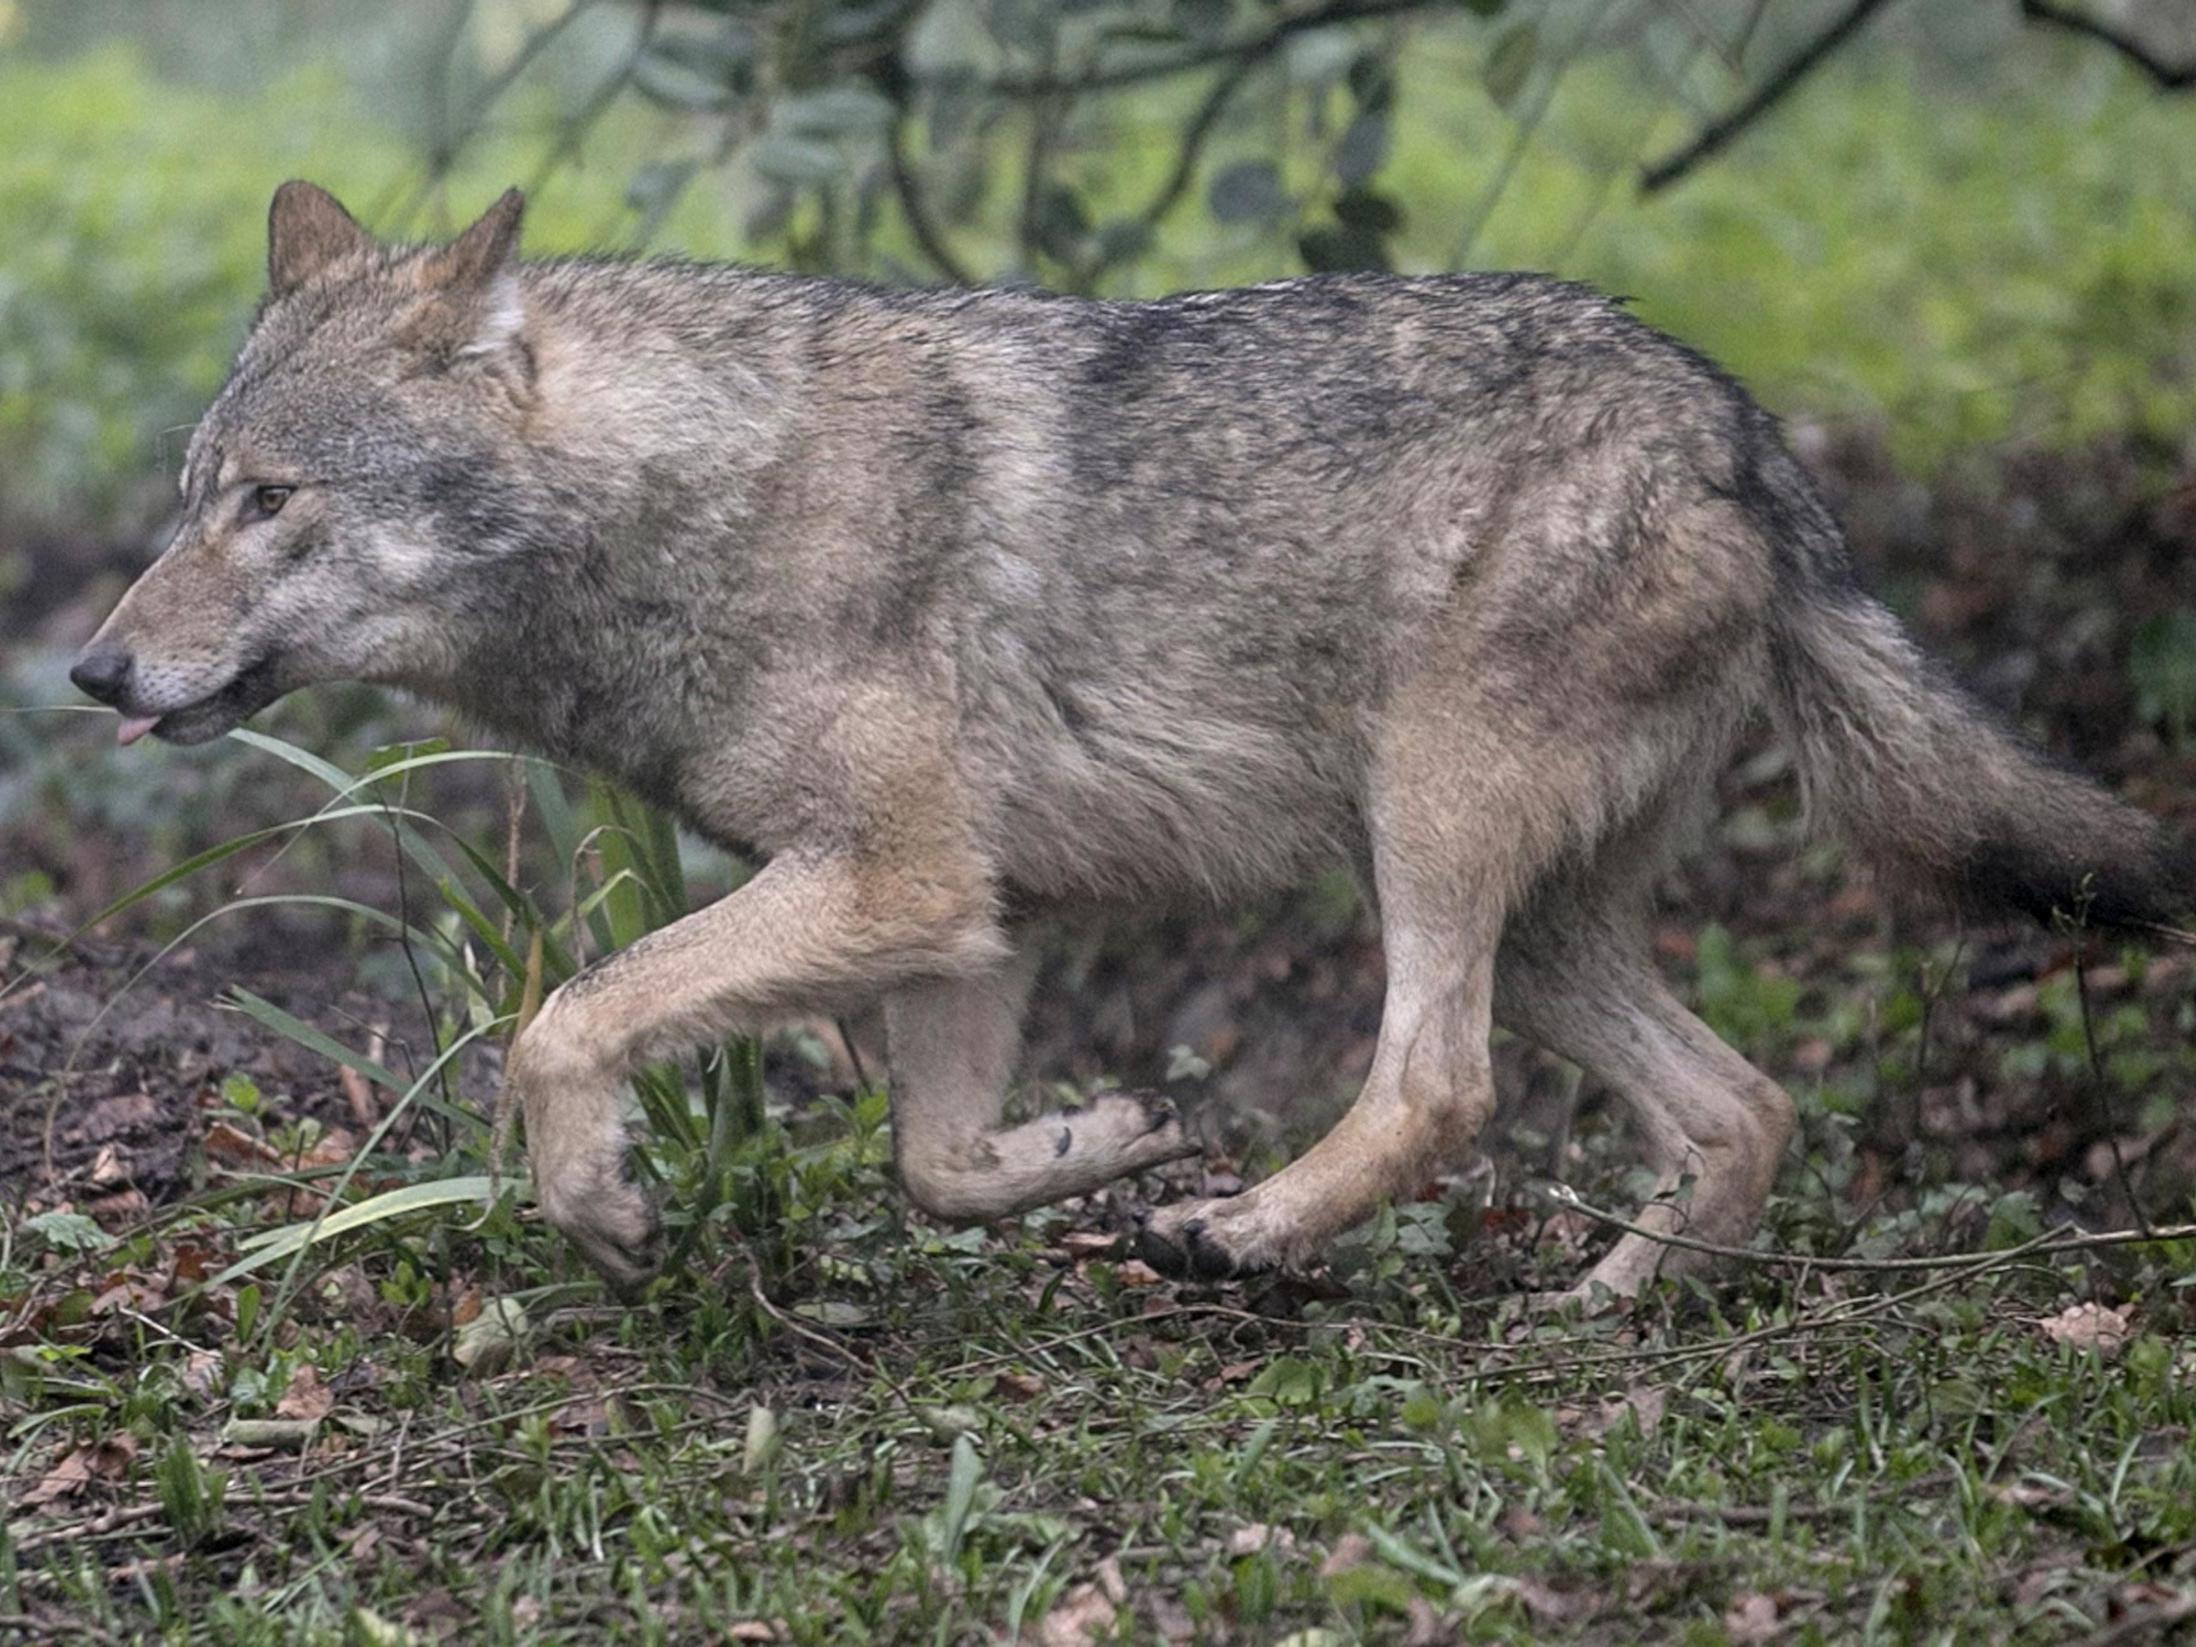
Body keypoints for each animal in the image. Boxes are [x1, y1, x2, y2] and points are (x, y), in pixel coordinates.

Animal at [68, 183, 2178, 1300]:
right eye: (188, 498)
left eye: (265, 501)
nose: (89, 675)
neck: (700, 508)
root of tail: (1745, 429)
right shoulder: (969, 921)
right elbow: (936, 1164)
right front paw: (1109, 1135)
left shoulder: (900, 879)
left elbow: (565, 1018)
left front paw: (597, 1196)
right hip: (1546, 918)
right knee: (1741, 1107)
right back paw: (1603, 1305)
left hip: (1425, 841)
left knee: (1441, 1088)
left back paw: (1241, 1235)